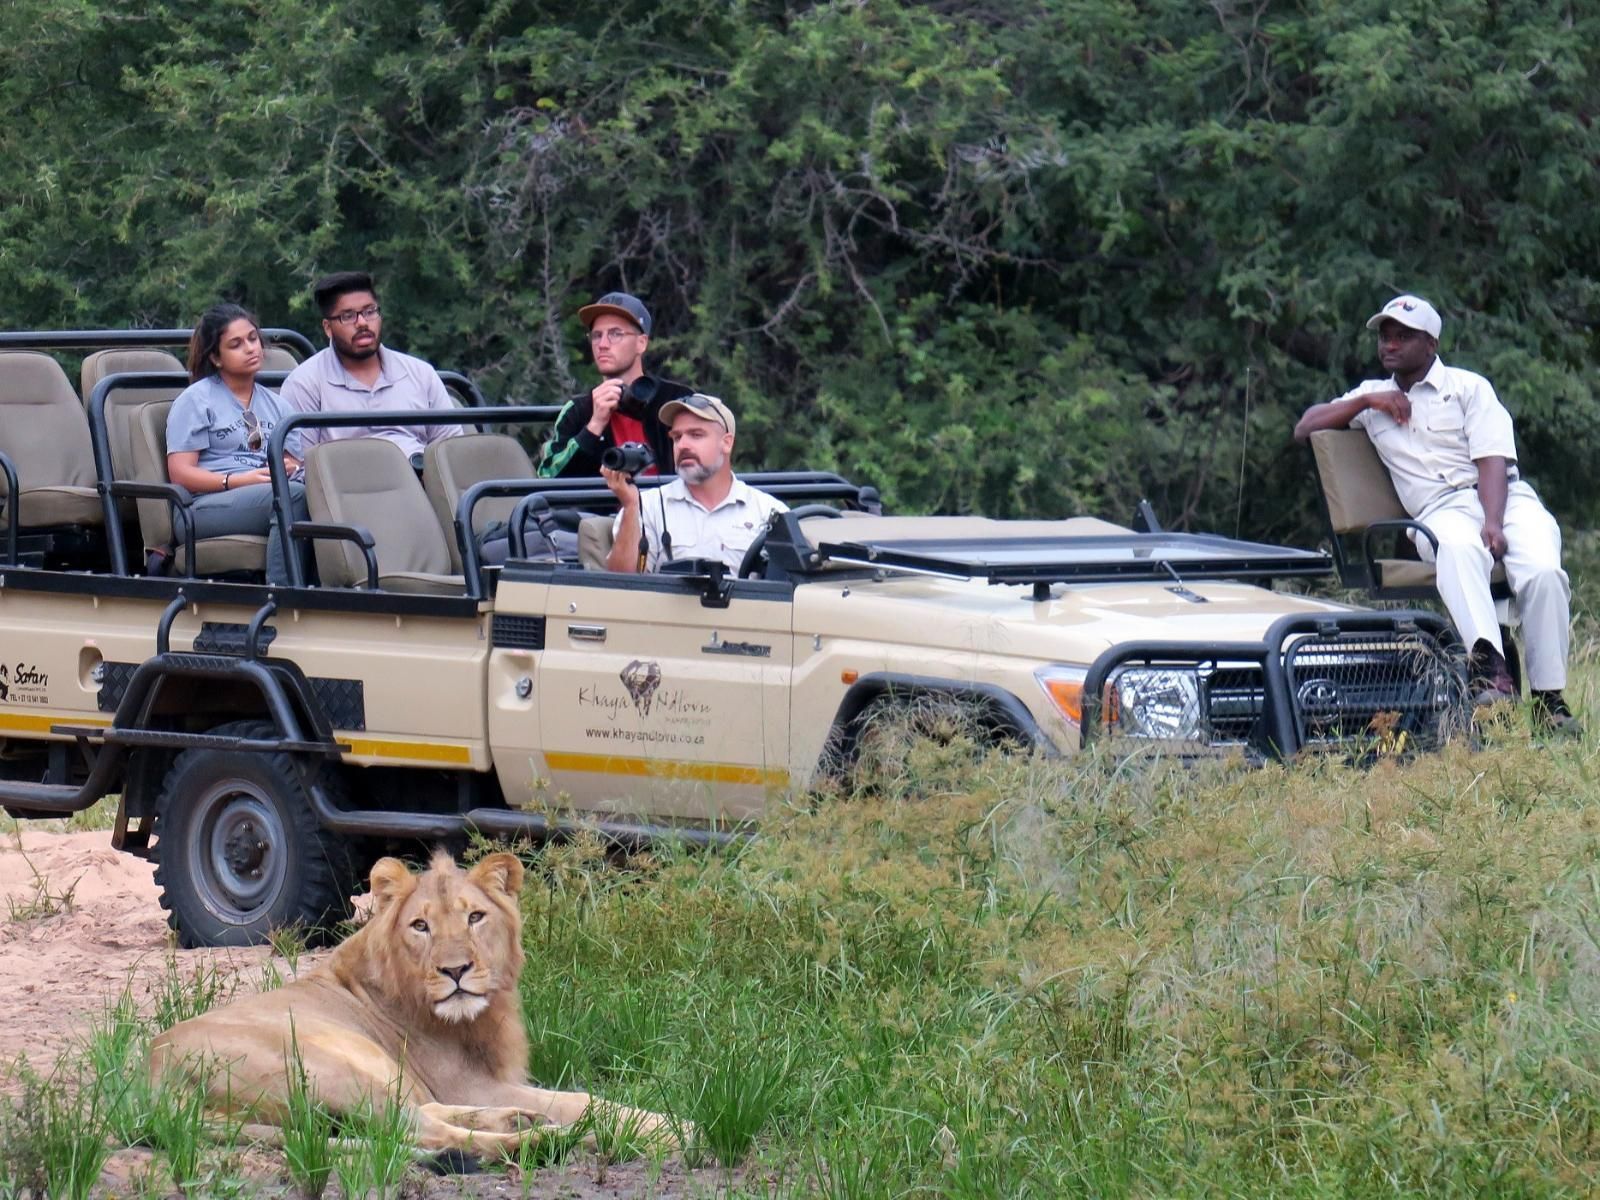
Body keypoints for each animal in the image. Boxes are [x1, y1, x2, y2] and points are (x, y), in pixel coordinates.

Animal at [147, 851, 678, 1158]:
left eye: (475, 917)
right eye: (420, 926)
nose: (455, 970)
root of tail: (149, 1078)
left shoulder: (485, 1083)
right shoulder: (473, 1082)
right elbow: (590, 1102)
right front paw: (674, 1129)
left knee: (423, 1116)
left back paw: (519, 1121)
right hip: (332, 1069)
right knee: (420, 1133)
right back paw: (544, 1140)